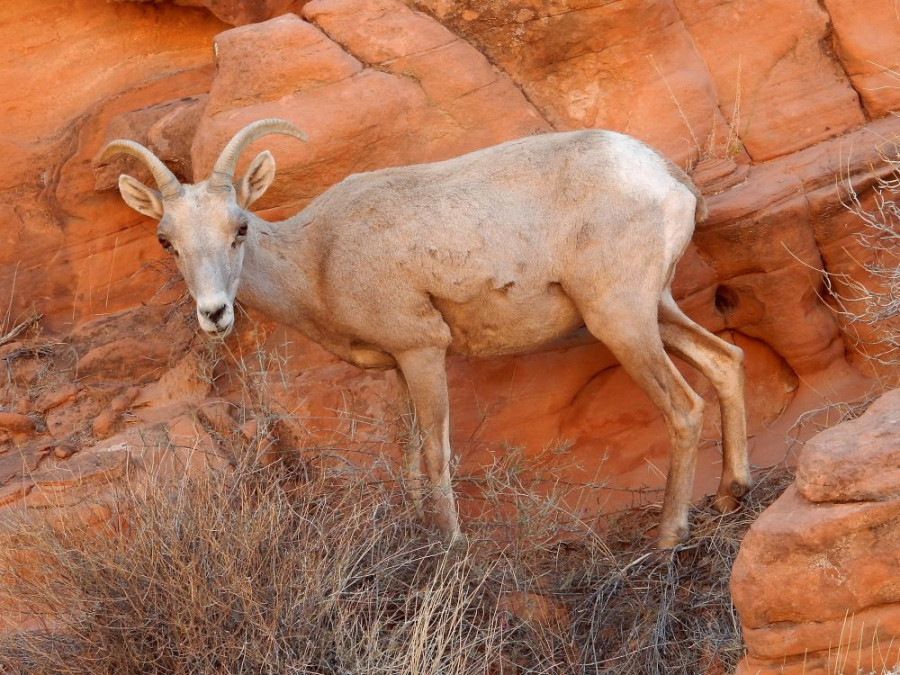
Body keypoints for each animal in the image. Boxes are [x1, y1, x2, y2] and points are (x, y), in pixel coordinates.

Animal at [102, 119, 752, 548]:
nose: (214, 314)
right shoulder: (396, 365)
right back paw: (730, 494)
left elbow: (437, 453)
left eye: (239, 228)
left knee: (685, 407)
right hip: (653, 309)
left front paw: (452, 548)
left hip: (621, 318)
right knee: (725, 360)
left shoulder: (423, 350)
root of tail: (667, 177)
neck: (318, 261)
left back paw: (667, 540)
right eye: (167, 241)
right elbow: (408, 449)